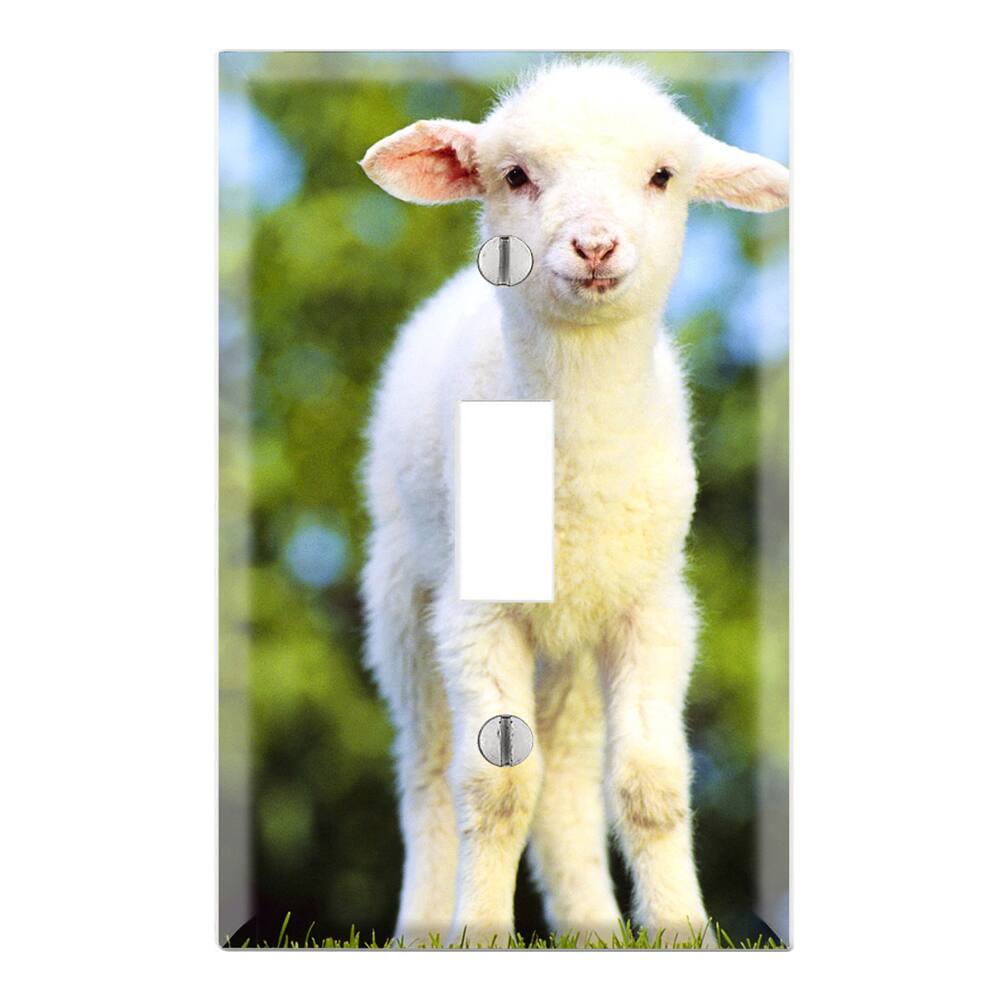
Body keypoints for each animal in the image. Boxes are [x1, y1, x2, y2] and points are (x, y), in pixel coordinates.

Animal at [359, 59, 788, 947]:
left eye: (663, 176)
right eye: (516, 176)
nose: (594, 244)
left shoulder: (652, 607)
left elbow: (652, 783)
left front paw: (682, 931)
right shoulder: (476, 612)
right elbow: (493, 786)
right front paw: (481, 934)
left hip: (572, 645)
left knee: (566, 773)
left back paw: (593, 926)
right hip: (401, 600)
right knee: (426, 770)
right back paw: (425, 926)